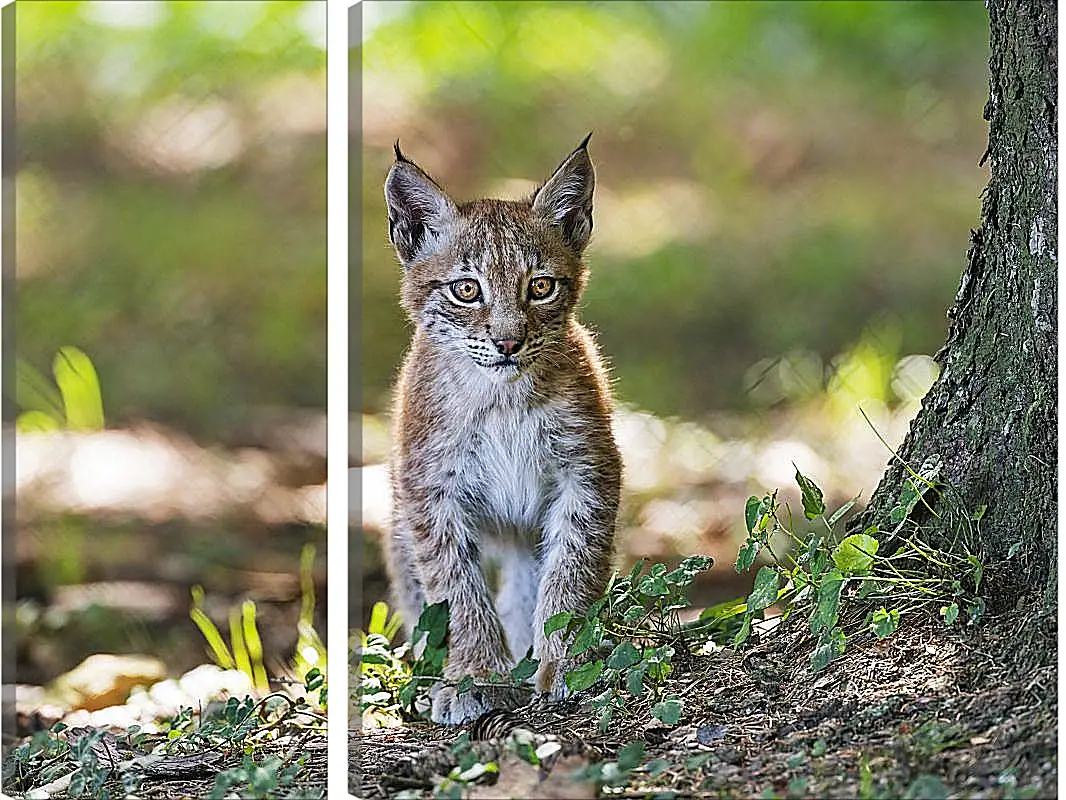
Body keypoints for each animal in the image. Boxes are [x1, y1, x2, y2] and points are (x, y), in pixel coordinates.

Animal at [383, 136, 622, 725]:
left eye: (540, 287)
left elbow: (571, 574)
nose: (509, 343)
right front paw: (476, 677)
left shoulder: (589, 470)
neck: (502, 398)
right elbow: (455, 590)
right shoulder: (430, 491)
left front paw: (567, 664)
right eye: (467, 290)